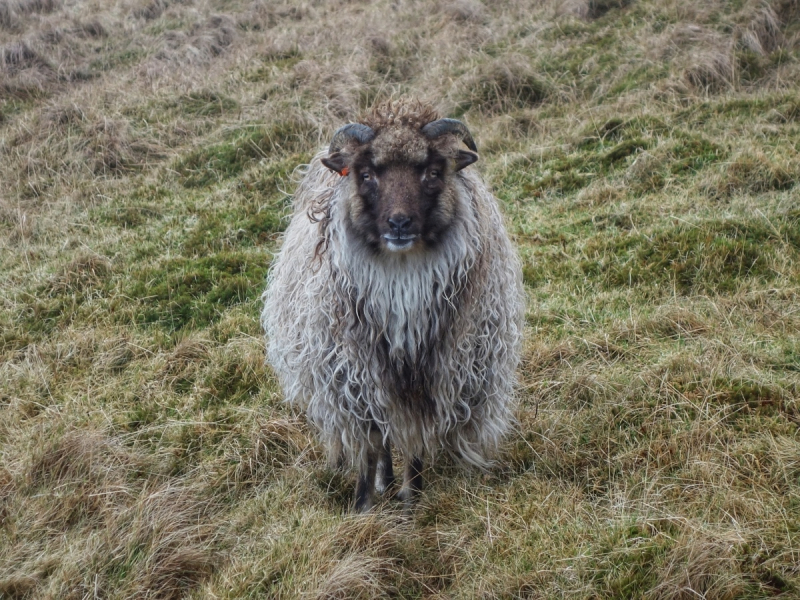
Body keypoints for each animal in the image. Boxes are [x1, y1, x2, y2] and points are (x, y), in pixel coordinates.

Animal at [264, 99, 524, 510]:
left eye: (433, 172)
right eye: (367, 174)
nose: (399, 223)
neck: (402, 280)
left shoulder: (433, 378)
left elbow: (415, 439)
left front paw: (411, 498)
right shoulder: (354, 379)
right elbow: (370, 445)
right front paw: (362, 505)